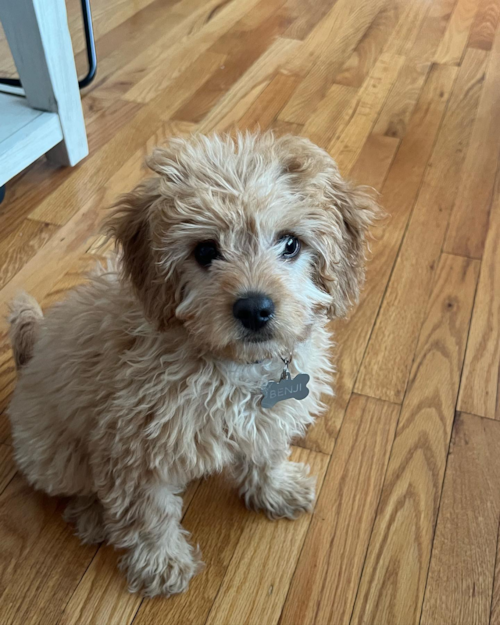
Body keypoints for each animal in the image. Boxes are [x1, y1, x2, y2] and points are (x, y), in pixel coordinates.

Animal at [7, 132, 376, 596]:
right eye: (205, 250)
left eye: (290, 243)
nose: (254, 309)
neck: (231, 365)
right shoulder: (135, 450)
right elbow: (148, 514)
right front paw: (160, 562)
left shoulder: (267, 418)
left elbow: (266, 454)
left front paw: (275, 490)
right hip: (55, 454)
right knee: (78, 489)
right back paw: (93, 517)